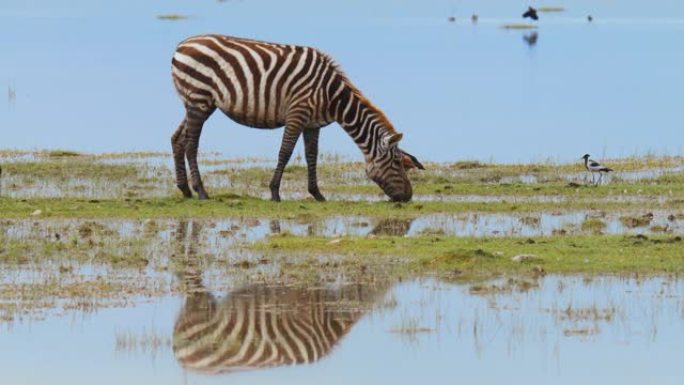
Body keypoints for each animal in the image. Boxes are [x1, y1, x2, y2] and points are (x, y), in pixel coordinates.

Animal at [170, 33, 422, 201]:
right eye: (397, 162)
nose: (408, 196)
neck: (332, 96)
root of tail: (182, 44)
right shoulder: (297, 114)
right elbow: (286, 152)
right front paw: (274, 193)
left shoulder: (312, 124)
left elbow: (312, 156)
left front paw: (317, 194)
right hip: (199, 100)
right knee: (191, 144)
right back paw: (201, 192)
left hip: (198, 103)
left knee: (177, 139)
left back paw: (185, 189)